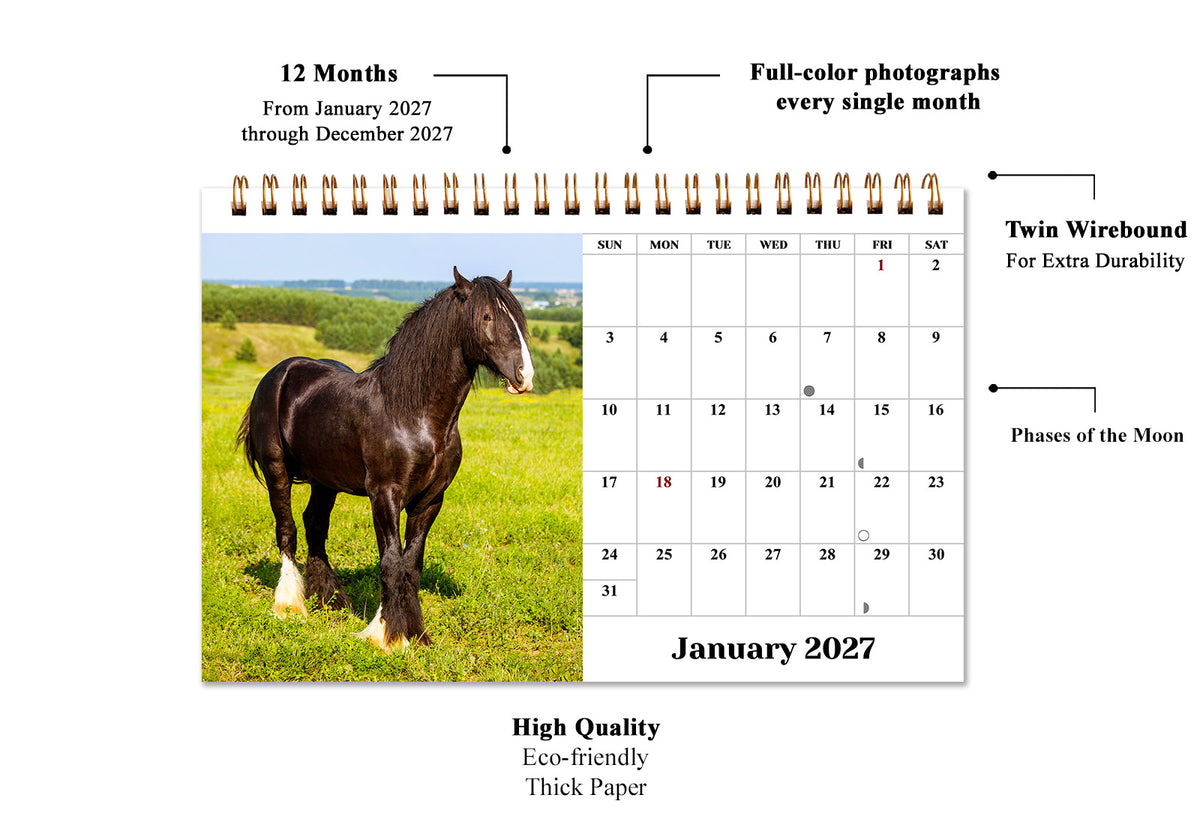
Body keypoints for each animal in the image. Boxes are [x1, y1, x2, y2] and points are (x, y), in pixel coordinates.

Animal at [236, 267, 534, 651]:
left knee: (314, 524)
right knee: (287, 529)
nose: (524, 376)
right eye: (486, 317)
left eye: (519, 318)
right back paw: (289, 605)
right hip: (277, 471)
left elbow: (411, 564)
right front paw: (386, 635)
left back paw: (330, 599)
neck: (413, 414)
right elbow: (391, 562)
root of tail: (278, 373)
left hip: (325, 481)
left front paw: (415, 634)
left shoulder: (430, 501)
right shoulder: (385, 495)